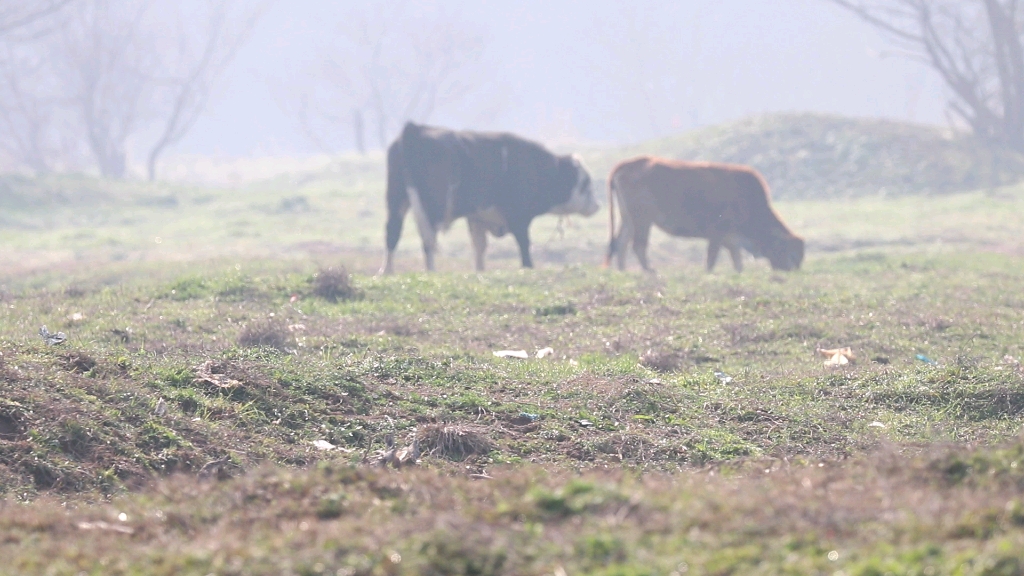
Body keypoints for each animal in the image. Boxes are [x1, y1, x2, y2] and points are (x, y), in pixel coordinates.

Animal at [380, 121, 598, 272]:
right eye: (586, 183)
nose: (597, 206)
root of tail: (415, 129)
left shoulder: (478, 217)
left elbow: (479, 246)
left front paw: (480, 271)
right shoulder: (518, 216)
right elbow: (524, 242)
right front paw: (528, 267)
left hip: (396, 200)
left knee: (393, 233)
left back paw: (387, 271)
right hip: (433, 206)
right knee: (428, 239)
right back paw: (431, 271)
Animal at [602, 155, 802, 272]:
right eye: (790, 253)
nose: (793, 270)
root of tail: (626, 165)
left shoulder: (731, 239)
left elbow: (737, 261)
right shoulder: (718, 235)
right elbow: (712, 259)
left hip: (628, 219)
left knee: (621, 243)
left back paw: (623, 271)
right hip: (643, 219)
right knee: (638, 245)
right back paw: (650, 271)